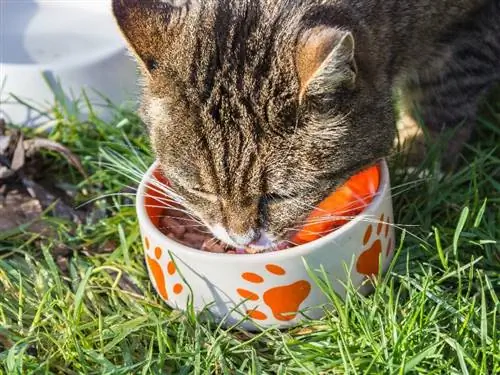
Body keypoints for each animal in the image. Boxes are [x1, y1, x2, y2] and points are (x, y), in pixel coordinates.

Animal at [111, 1, 498, 251]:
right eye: (202, 191)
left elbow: (442, 97)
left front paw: (423, 159)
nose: (242, 240)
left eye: (281, 195)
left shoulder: (469, 27)